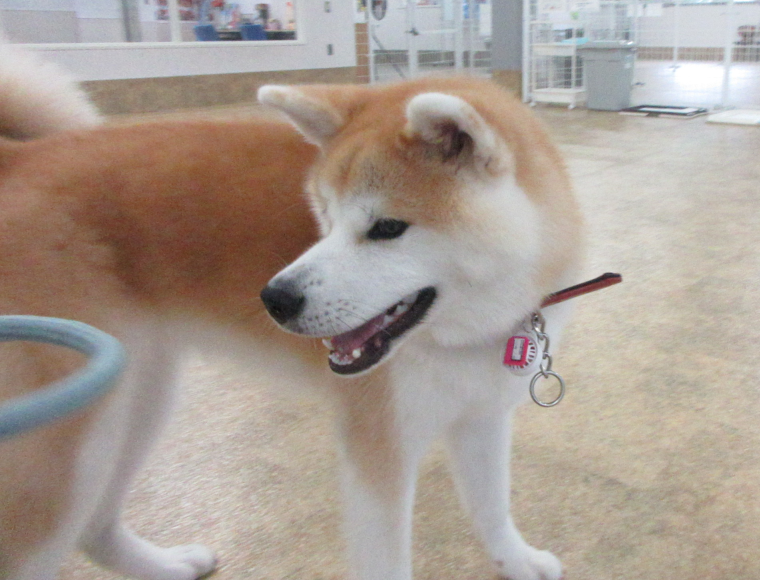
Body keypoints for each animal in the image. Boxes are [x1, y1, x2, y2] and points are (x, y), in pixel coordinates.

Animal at [0, 44, 583, 580]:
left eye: (387, 228)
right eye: (324, 214)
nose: (274, 299)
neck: (463, 333)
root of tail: (19, 159)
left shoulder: (481, 414)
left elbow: (492, 507)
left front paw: (516, 561)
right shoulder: (381, 450)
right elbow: (389, 560)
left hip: (134, 401)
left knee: (94, 528)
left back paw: (163, 565)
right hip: (66, 441)